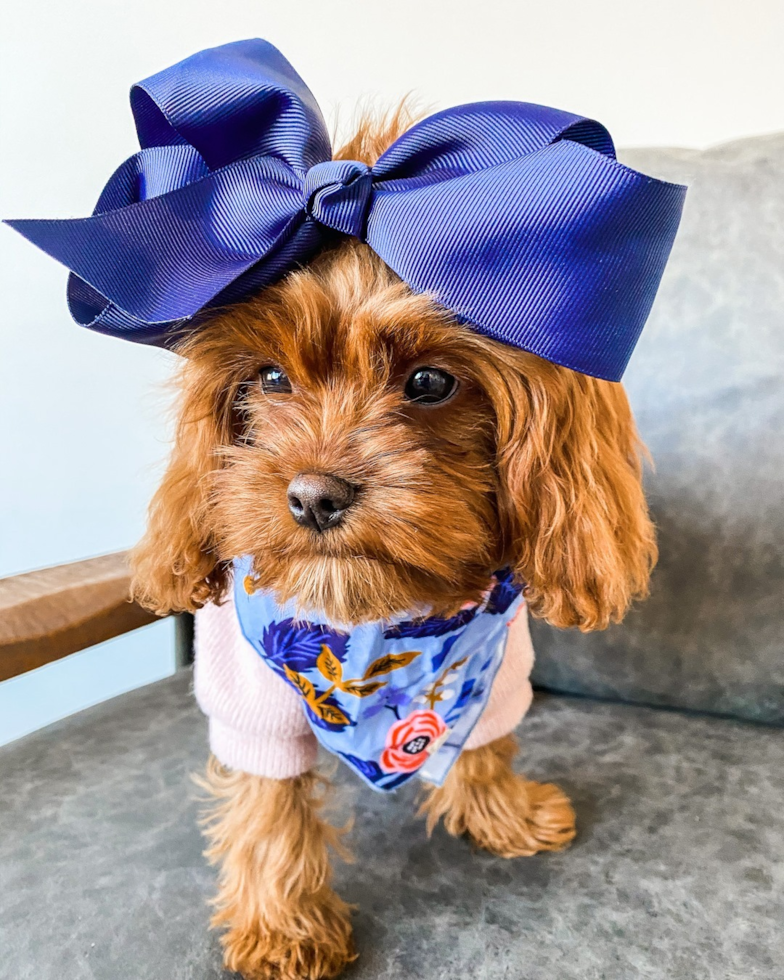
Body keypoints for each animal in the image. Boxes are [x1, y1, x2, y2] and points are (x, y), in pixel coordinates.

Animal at [130, 107, 656, 980]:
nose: (314, 496)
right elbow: (269, 802)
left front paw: (500, 810)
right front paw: (284, 925)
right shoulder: (250, 701)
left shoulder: (494, 665)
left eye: (430, 382)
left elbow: (485, 738)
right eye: (271, 379)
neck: (377, 621)